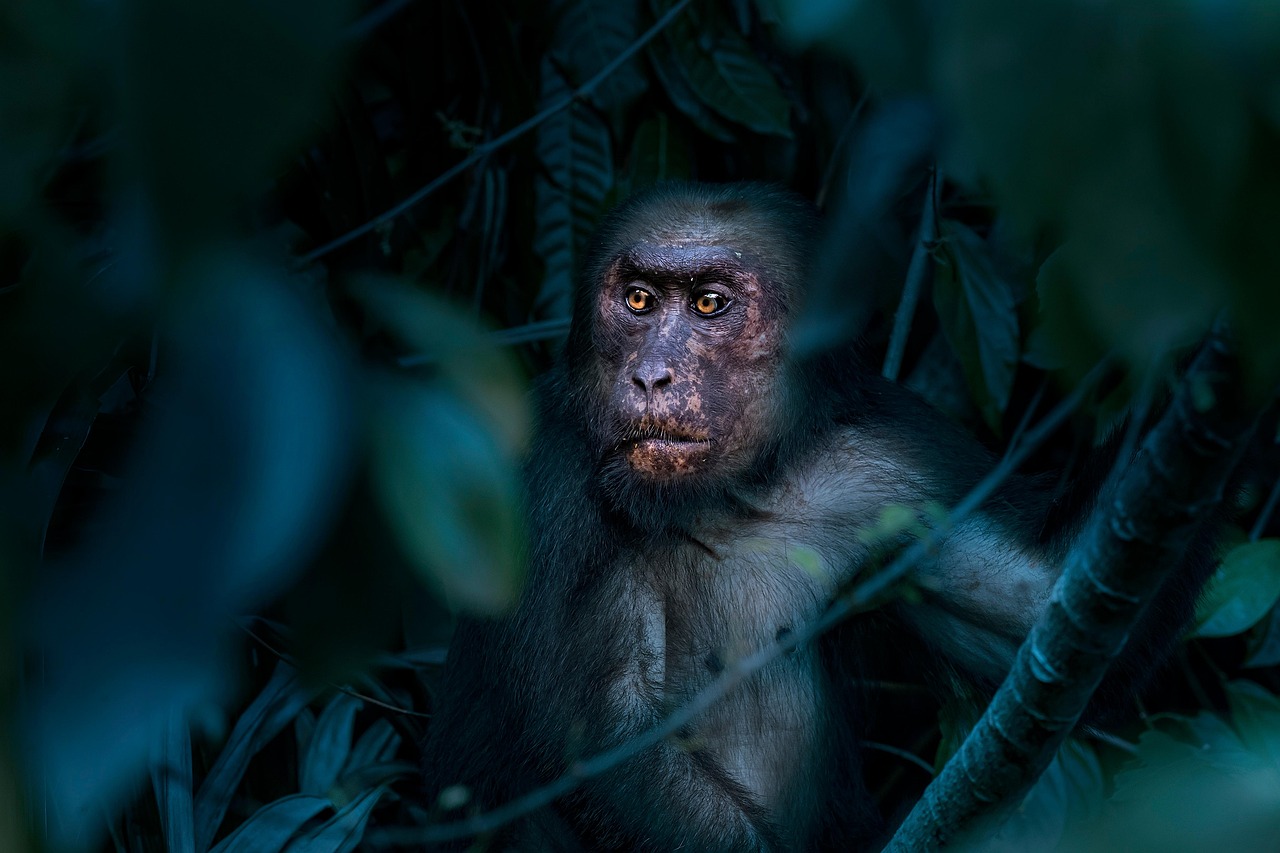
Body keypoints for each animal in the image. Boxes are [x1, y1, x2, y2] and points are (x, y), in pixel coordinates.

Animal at [421, 182, 1218, 851]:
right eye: (640, 301)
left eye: (708, 305)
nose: (650, 374)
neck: (729, 493)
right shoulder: (547, 477)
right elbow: (597, 744)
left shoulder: (894, 471)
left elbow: (1041, 604)